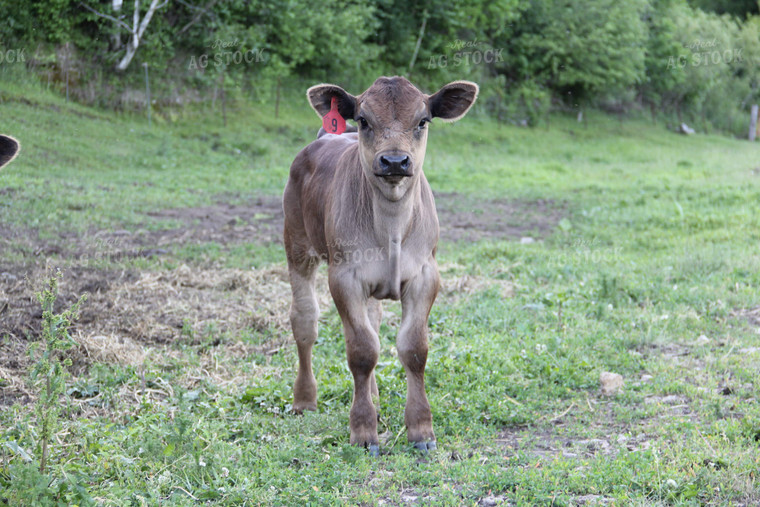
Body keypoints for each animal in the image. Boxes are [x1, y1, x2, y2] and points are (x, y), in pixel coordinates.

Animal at [282, 76, 478, 456]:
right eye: (364, 120)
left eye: (422, 121)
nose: (395, 161)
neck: (391, 229)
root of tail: (328, 136)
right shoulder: (344, 277)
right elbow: (361, 350)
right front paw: (363, 432)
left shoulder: (425, 274)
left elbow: (413, 348)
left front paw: (421, 430)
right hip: (296, 242)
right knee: (305, 321)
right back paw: (304, 399)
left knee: (372, 321)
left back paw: (372, 395)